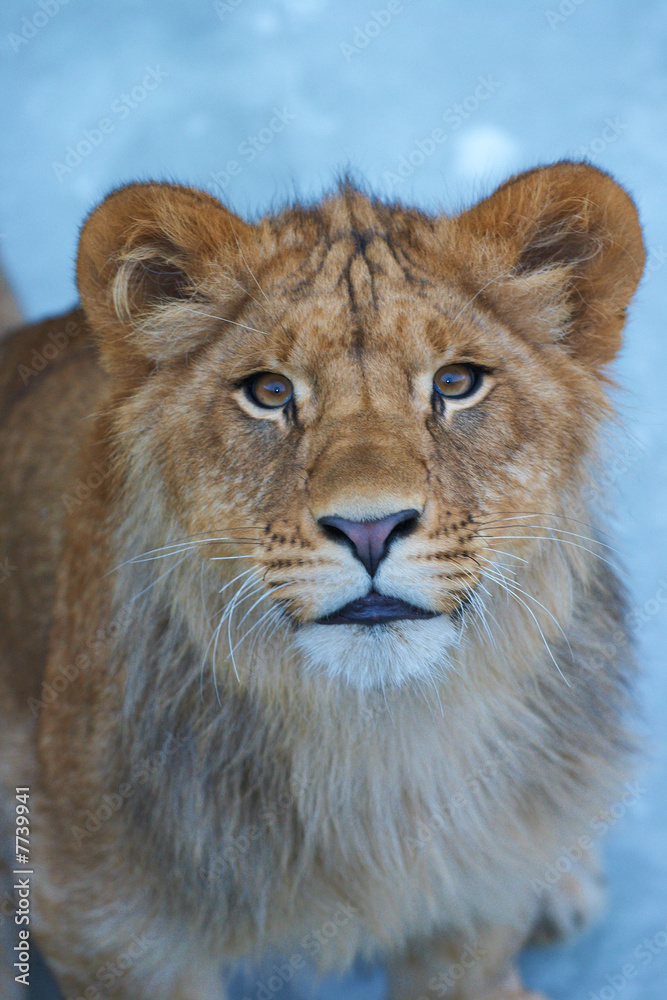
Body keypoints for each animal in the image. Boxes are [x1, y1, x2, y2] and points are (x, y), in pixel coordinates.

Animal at [0, 161, 644, 1000]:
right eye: (270, 393)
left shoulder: (470, 915)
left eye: (455, 382)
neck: (377, 739)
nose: (369, 528)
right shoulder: (103, 923)